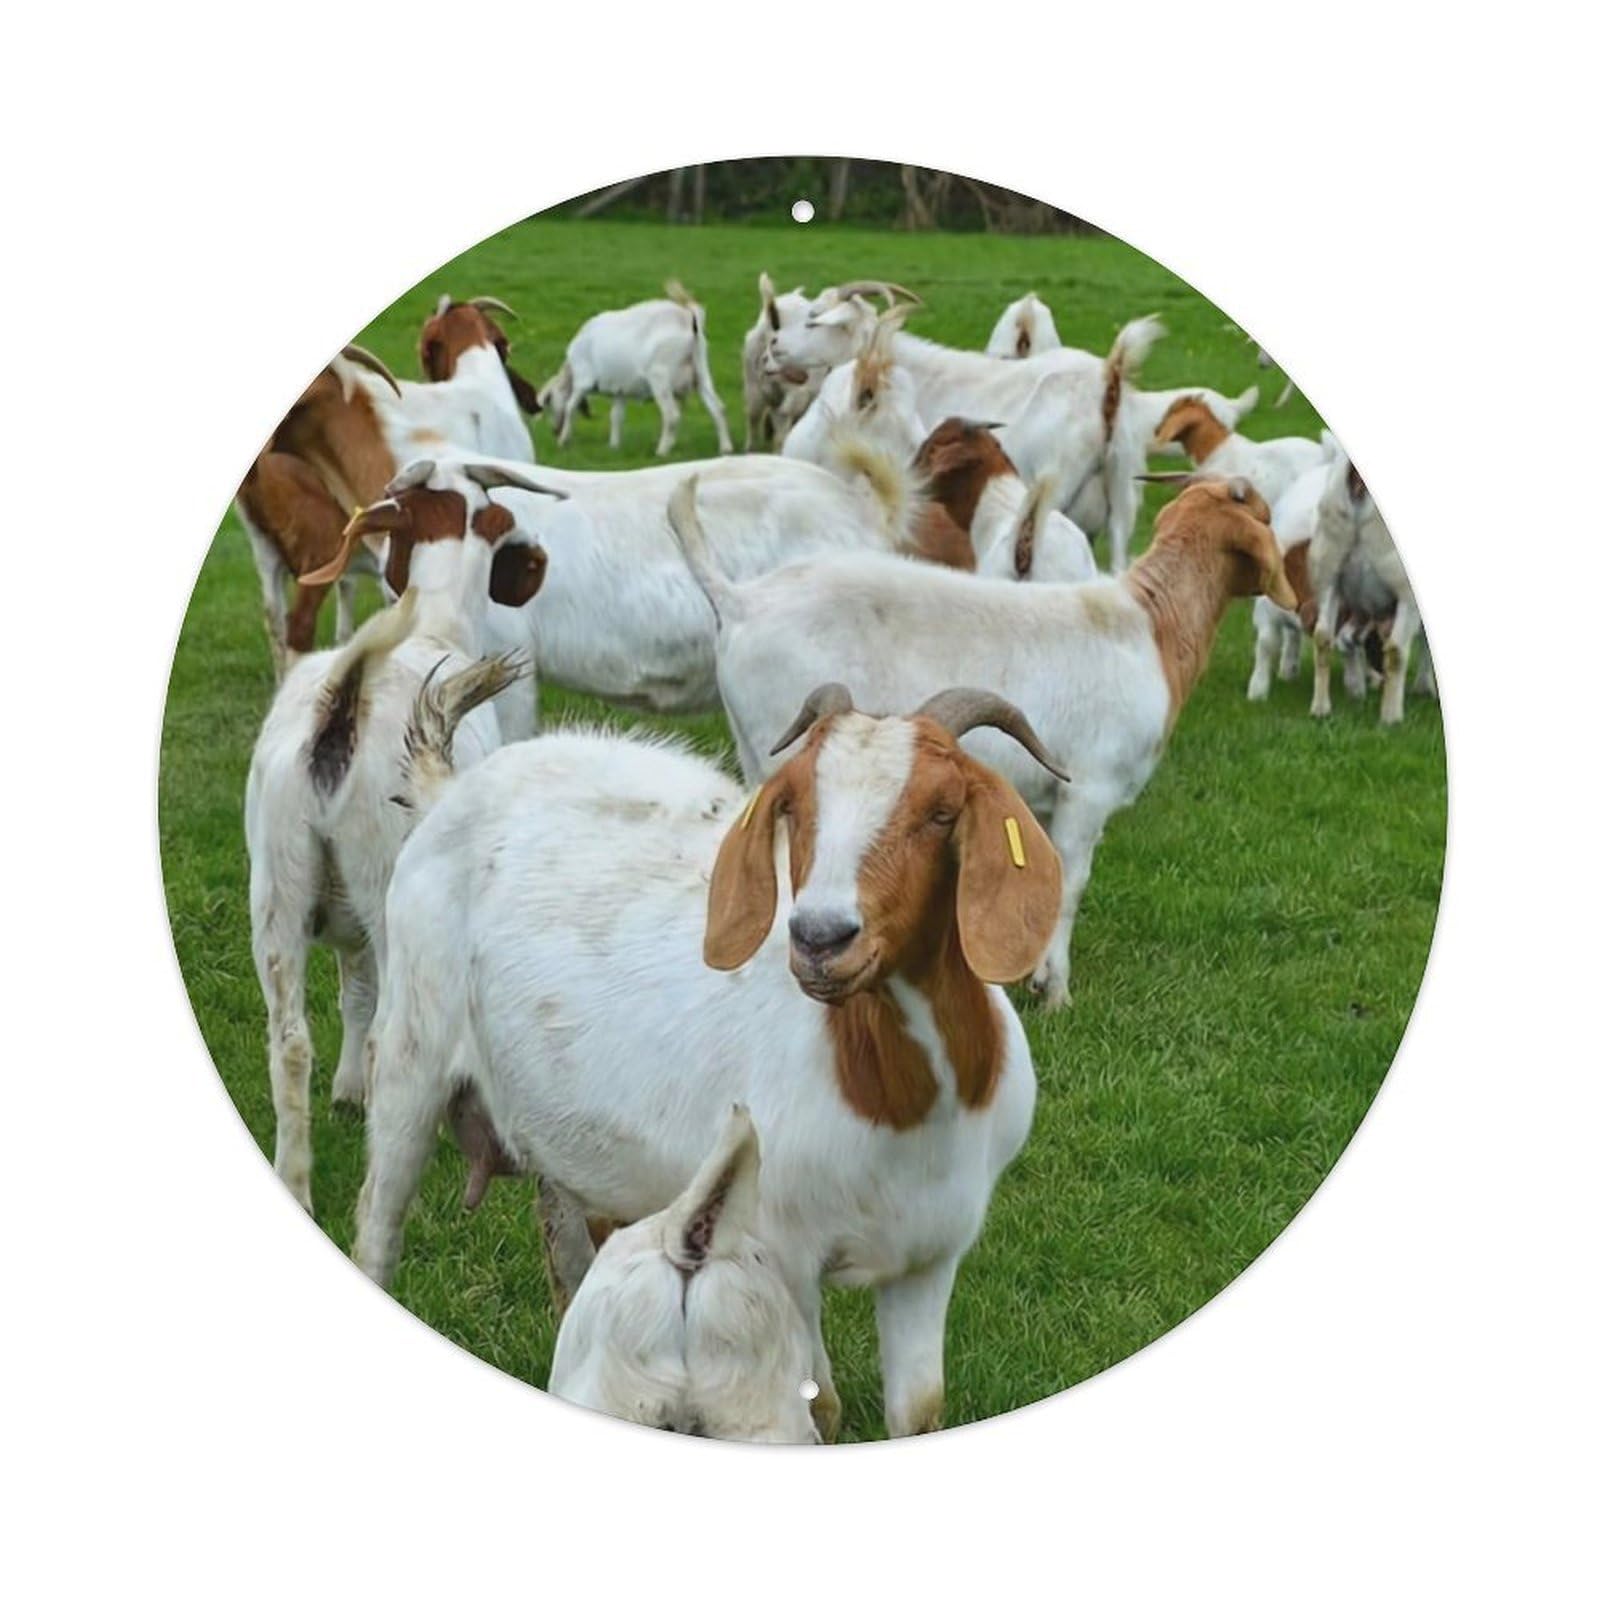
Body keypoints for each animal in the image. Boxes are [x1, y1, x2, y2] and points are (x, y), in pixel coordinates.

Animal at [244, 458, 558, 1212]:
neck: (436, 623)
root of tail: (343, 703)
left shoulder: (341, 915)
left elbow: (350, 991)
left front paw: (345, 1093)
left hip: (277, 887)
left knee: (289, 1040)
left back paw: (296, 1183)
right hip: (386, 882)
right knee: (390, 1037)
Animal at [539, 281, 733, 457]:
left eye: (549, 402)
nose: (554, 431)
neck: (570, 370)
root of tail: (688, 318)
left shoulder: (583, 380)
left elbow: (570, 407)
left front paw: (563, 441)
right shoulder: (619, 390)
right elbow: (616, 417)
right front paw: (613, 446)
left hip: (660, 376)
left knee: (671, 415)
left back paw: (662, 451)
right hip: (701, 371)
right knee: (718, 408)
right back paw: (725, 448)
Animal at [667, 474, 1297, 1009]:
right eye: (1265, 515)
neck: (1149, 629)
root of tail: (741, 599)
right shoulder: (1088, 790)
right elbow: (1071, 885)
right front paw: (1055, 992)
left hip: (759, 747)